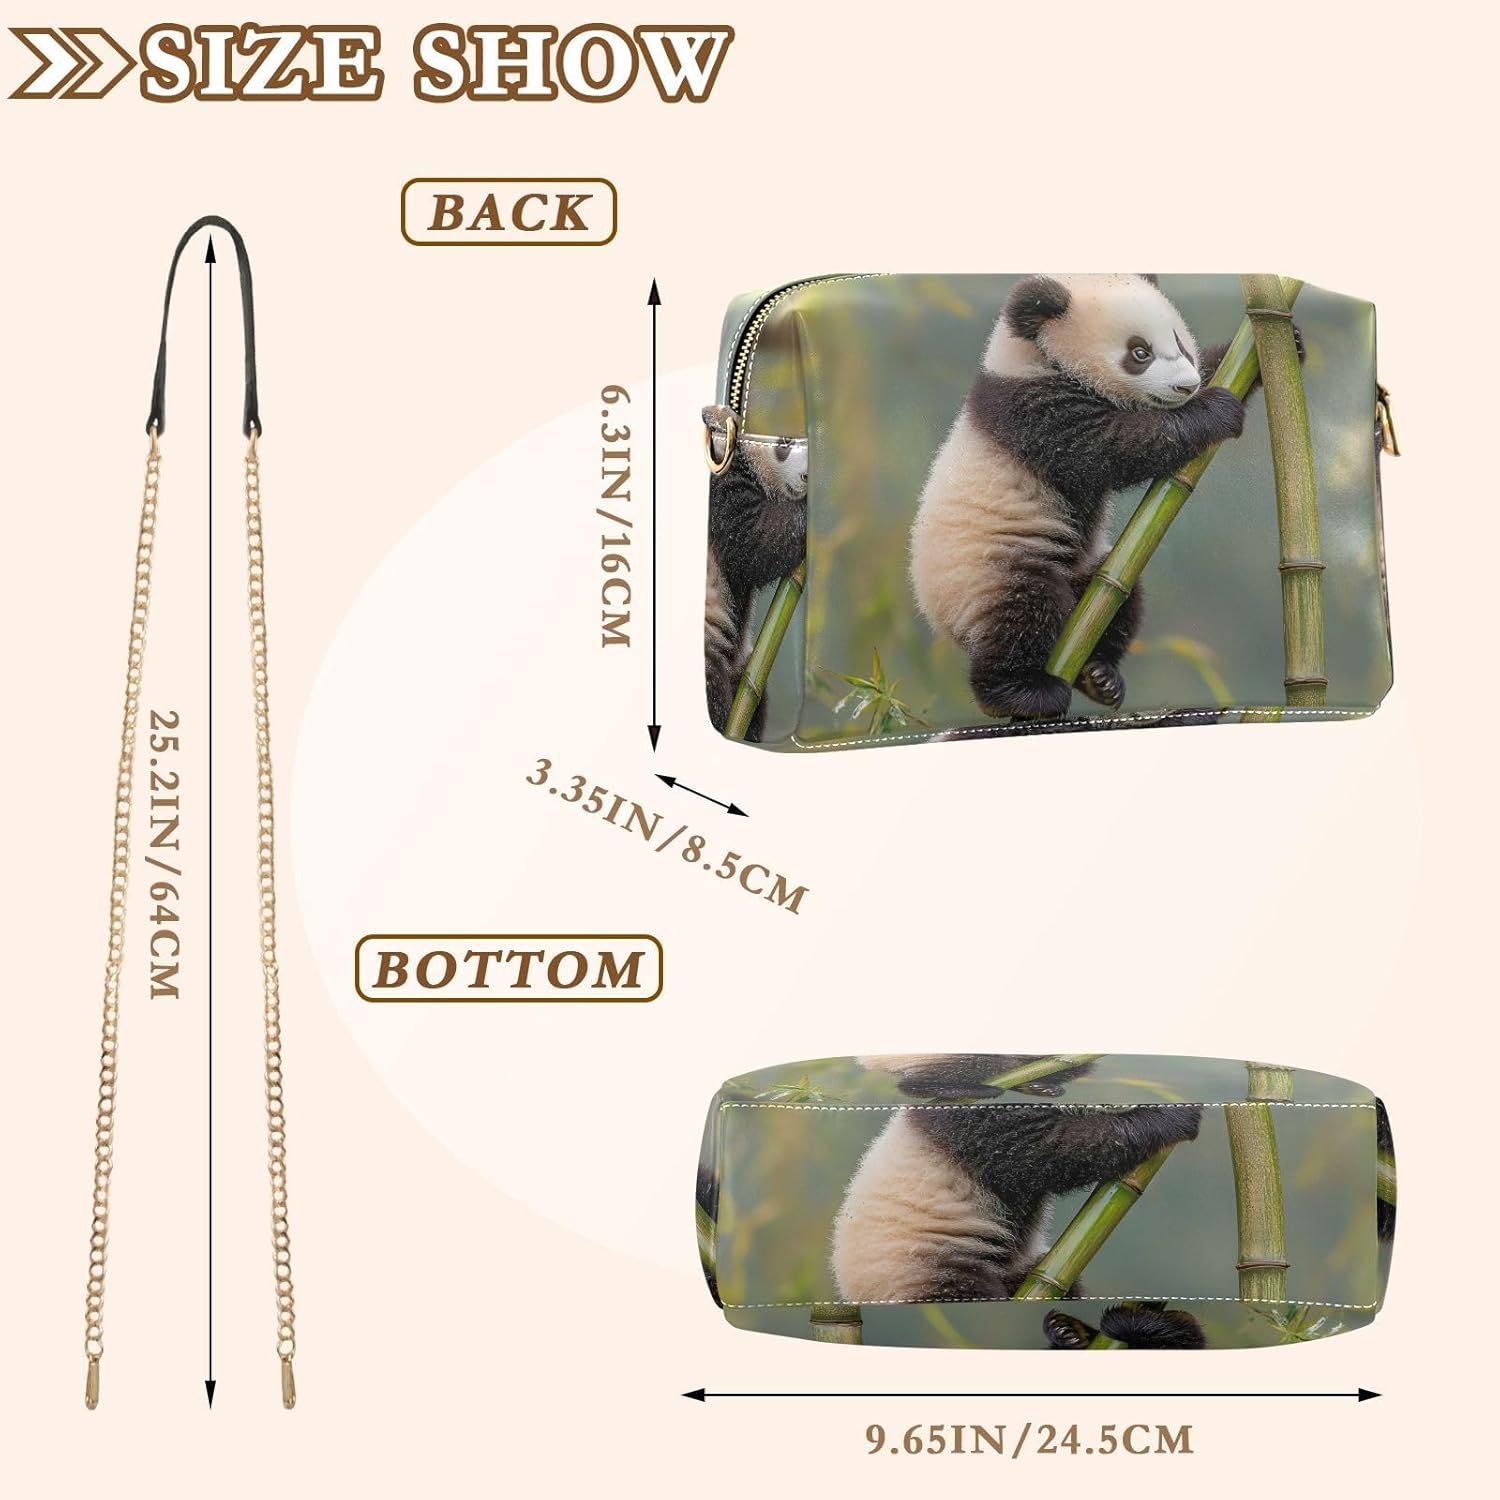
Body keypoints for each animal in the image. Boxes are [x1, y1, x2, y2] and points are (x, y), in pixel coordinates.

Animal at [910, 274, 1262, 722]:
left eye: (1181, 343)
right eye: (1139, 353)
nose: (1187, 385)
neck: (1034, 355)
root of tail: (940, 621)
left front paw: (1274, 345)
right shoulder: (1036, 411)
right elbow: (1111, 447)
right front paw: (1214, 410)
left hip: (1093, 571)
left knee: (1122, 597)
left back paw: (1098, 675)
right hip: (986, 570)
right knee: (1022, 611)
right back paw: (1018, 692)